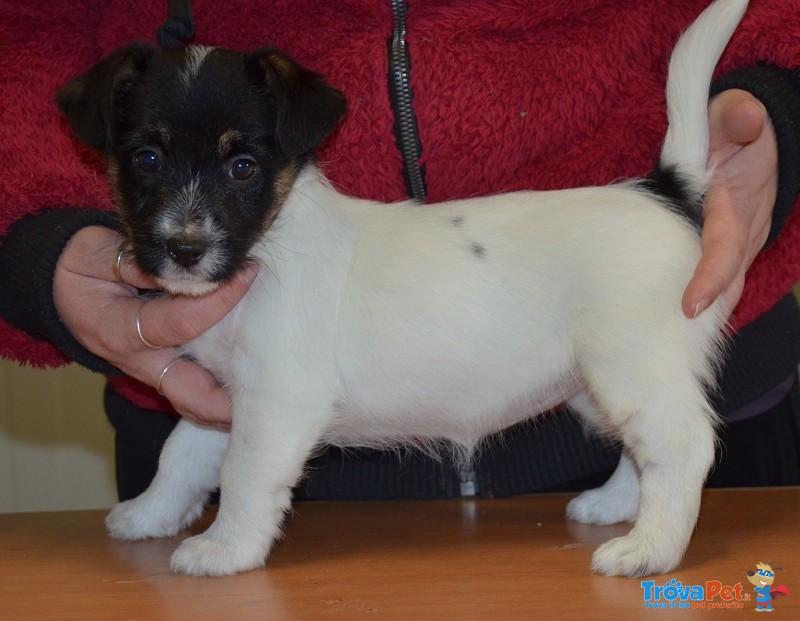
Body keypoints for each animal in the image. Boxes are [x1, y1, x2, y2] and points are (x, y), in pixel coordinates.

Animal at [57, 0, 752, 576]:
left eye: (242, 166)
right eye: (147, 158)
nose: (185, 249)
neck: (270, 245)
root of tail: (666, 191)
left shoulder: (276, 400)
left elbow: (244, 474)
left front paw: (225, 549)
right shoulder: (220, 393)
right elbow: (183, 454)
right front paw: (151, 514)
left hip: (631, 363)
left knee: (682, 445)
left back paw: (650, 549)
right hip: (591, 380)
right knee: (643, 450)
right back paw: (614, 506)